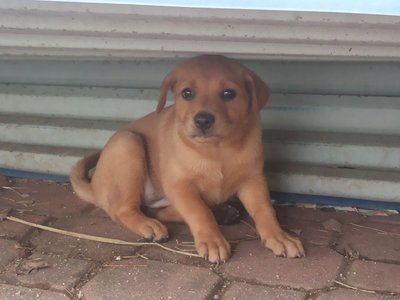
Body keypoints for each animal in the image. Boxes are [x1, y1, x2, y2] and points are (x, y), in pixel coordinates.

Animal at [70, 54, 304, 262]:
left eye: (229, 93)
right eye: (187, 93)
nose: (203, 120)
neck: (217, 150)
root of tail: (95, 186)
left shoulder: (253, 180)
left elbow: (265, 210)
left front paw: (280, 236)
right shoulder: (180, 185)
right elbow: (199, 212)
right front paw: (212, 241)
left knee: (160, 211)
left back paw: (222, 213)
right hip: (127, 144)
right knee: (122, 210)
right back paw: (149, 225)